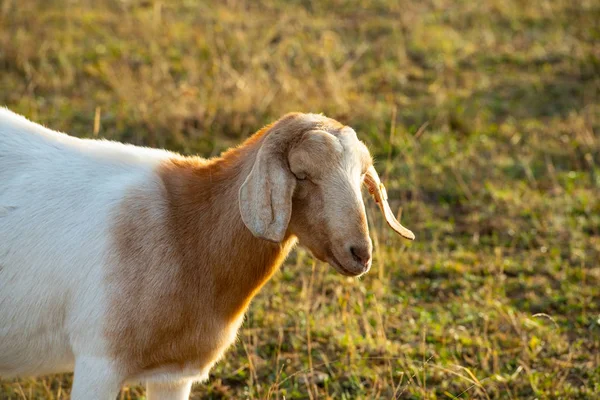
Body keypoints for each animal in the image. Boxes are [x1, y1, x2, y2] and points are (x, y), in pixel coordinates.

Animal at [0, 108, 412, 398]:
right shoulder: (98, 365)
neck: (182, 231)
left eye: (361, 176)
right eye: (303, 174)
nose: (360, 253)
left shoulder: (175, 373)